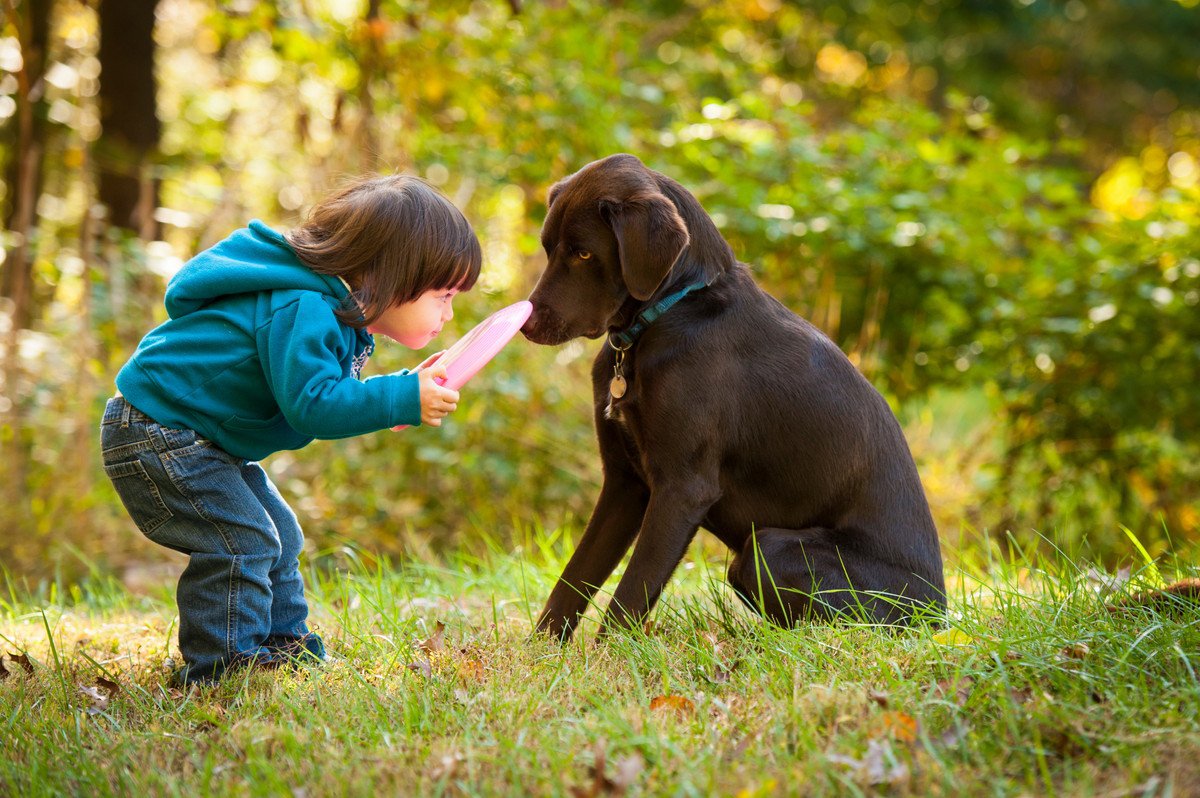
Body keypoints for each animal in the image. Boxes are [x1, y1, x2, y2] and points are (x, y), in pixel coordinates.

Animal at [525, 153, 945, 643]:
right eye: (549, 248)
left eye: (584, 253)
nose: (526, 325)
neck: (670, 312)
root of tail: (939, 615)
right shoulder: (624, 483)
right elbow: (572, 580)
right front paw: (540, 655)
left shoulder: (683, 488)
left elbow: (630, 594)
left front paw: (606, 657)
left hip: (770, 548)